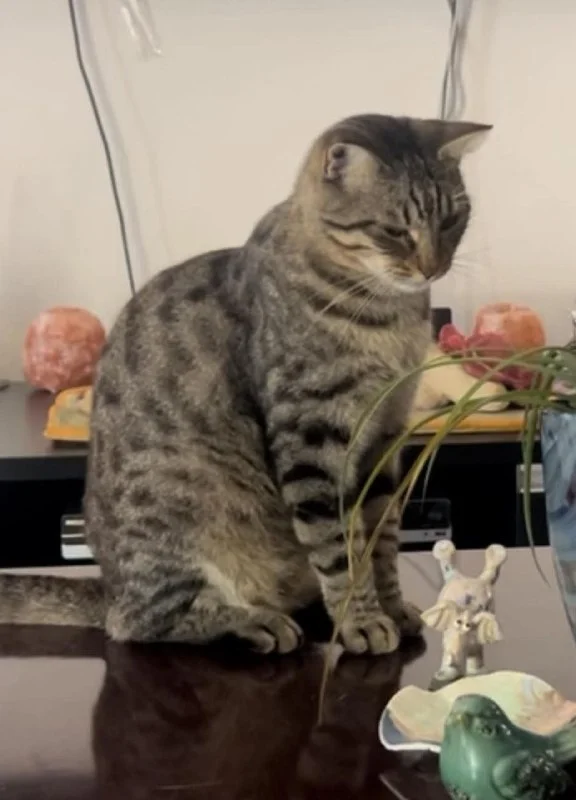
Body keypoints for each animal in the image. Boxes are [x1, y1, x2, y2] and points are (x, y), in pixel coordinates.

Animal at [0, 114, 490, 655]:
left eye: (453, 221)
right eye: (393, 231)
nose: (432, 268)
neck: (388, 317)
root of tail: (109, 586)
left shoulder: (386, 437)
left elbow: (380, 540)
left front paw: (394, 608)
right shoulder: (312, 440)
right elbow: (339, 549)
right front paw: (361, 620)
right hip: (183, 508)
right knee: (140, 622)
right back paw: (253, 621)